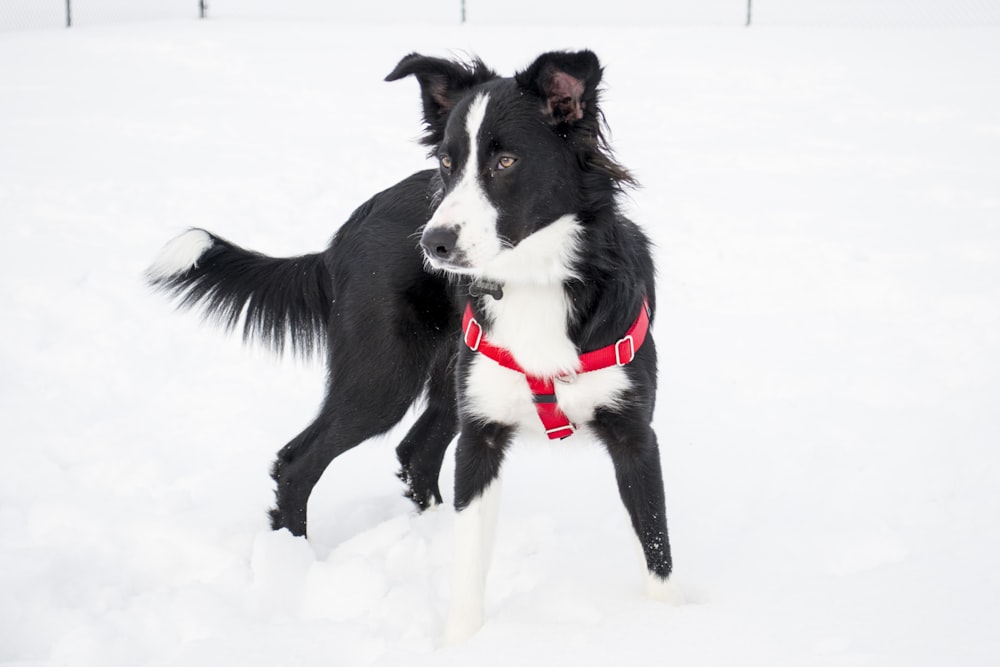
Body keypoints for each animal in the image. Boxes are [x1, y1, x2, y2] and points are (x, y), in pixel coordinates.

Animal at [148, 49, 680, 644]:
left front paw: (672, 625)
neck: (535, 280)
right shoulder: (482, 436)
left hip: (446, 384)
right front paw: (463, 642)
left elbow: (656, 546)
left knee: (415, 452)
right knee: (297, 461)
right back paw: (291, 568)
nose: (434, 243)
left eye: (506, 161)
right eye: (447, 163)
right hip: (382, 380)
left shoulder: (633, 434)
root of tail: (345, 232)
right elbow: (470, 564)